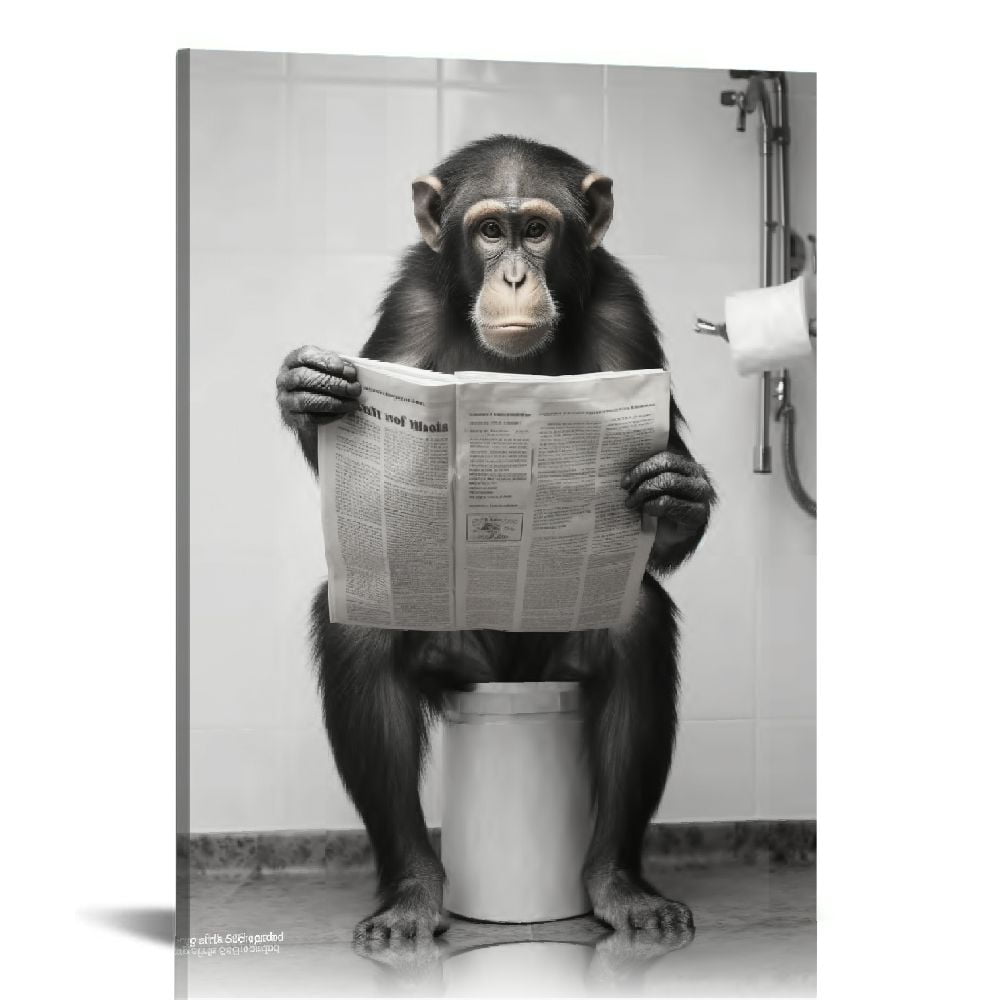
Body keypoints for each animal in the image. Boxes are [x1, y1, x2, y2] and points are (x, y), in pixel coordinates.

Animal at [276, 135, 716, 943]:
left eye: (536, 230)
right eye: (488, 230)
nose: (514, 274)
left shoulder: (623, 311)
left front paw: (675, 491)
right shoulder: (409, 305)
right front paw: (308, 391)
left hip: (555, 660)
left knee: (635, 622)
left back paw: (620, 887)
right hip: (460, 663)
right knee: (362, 634)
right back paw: (412, 894)